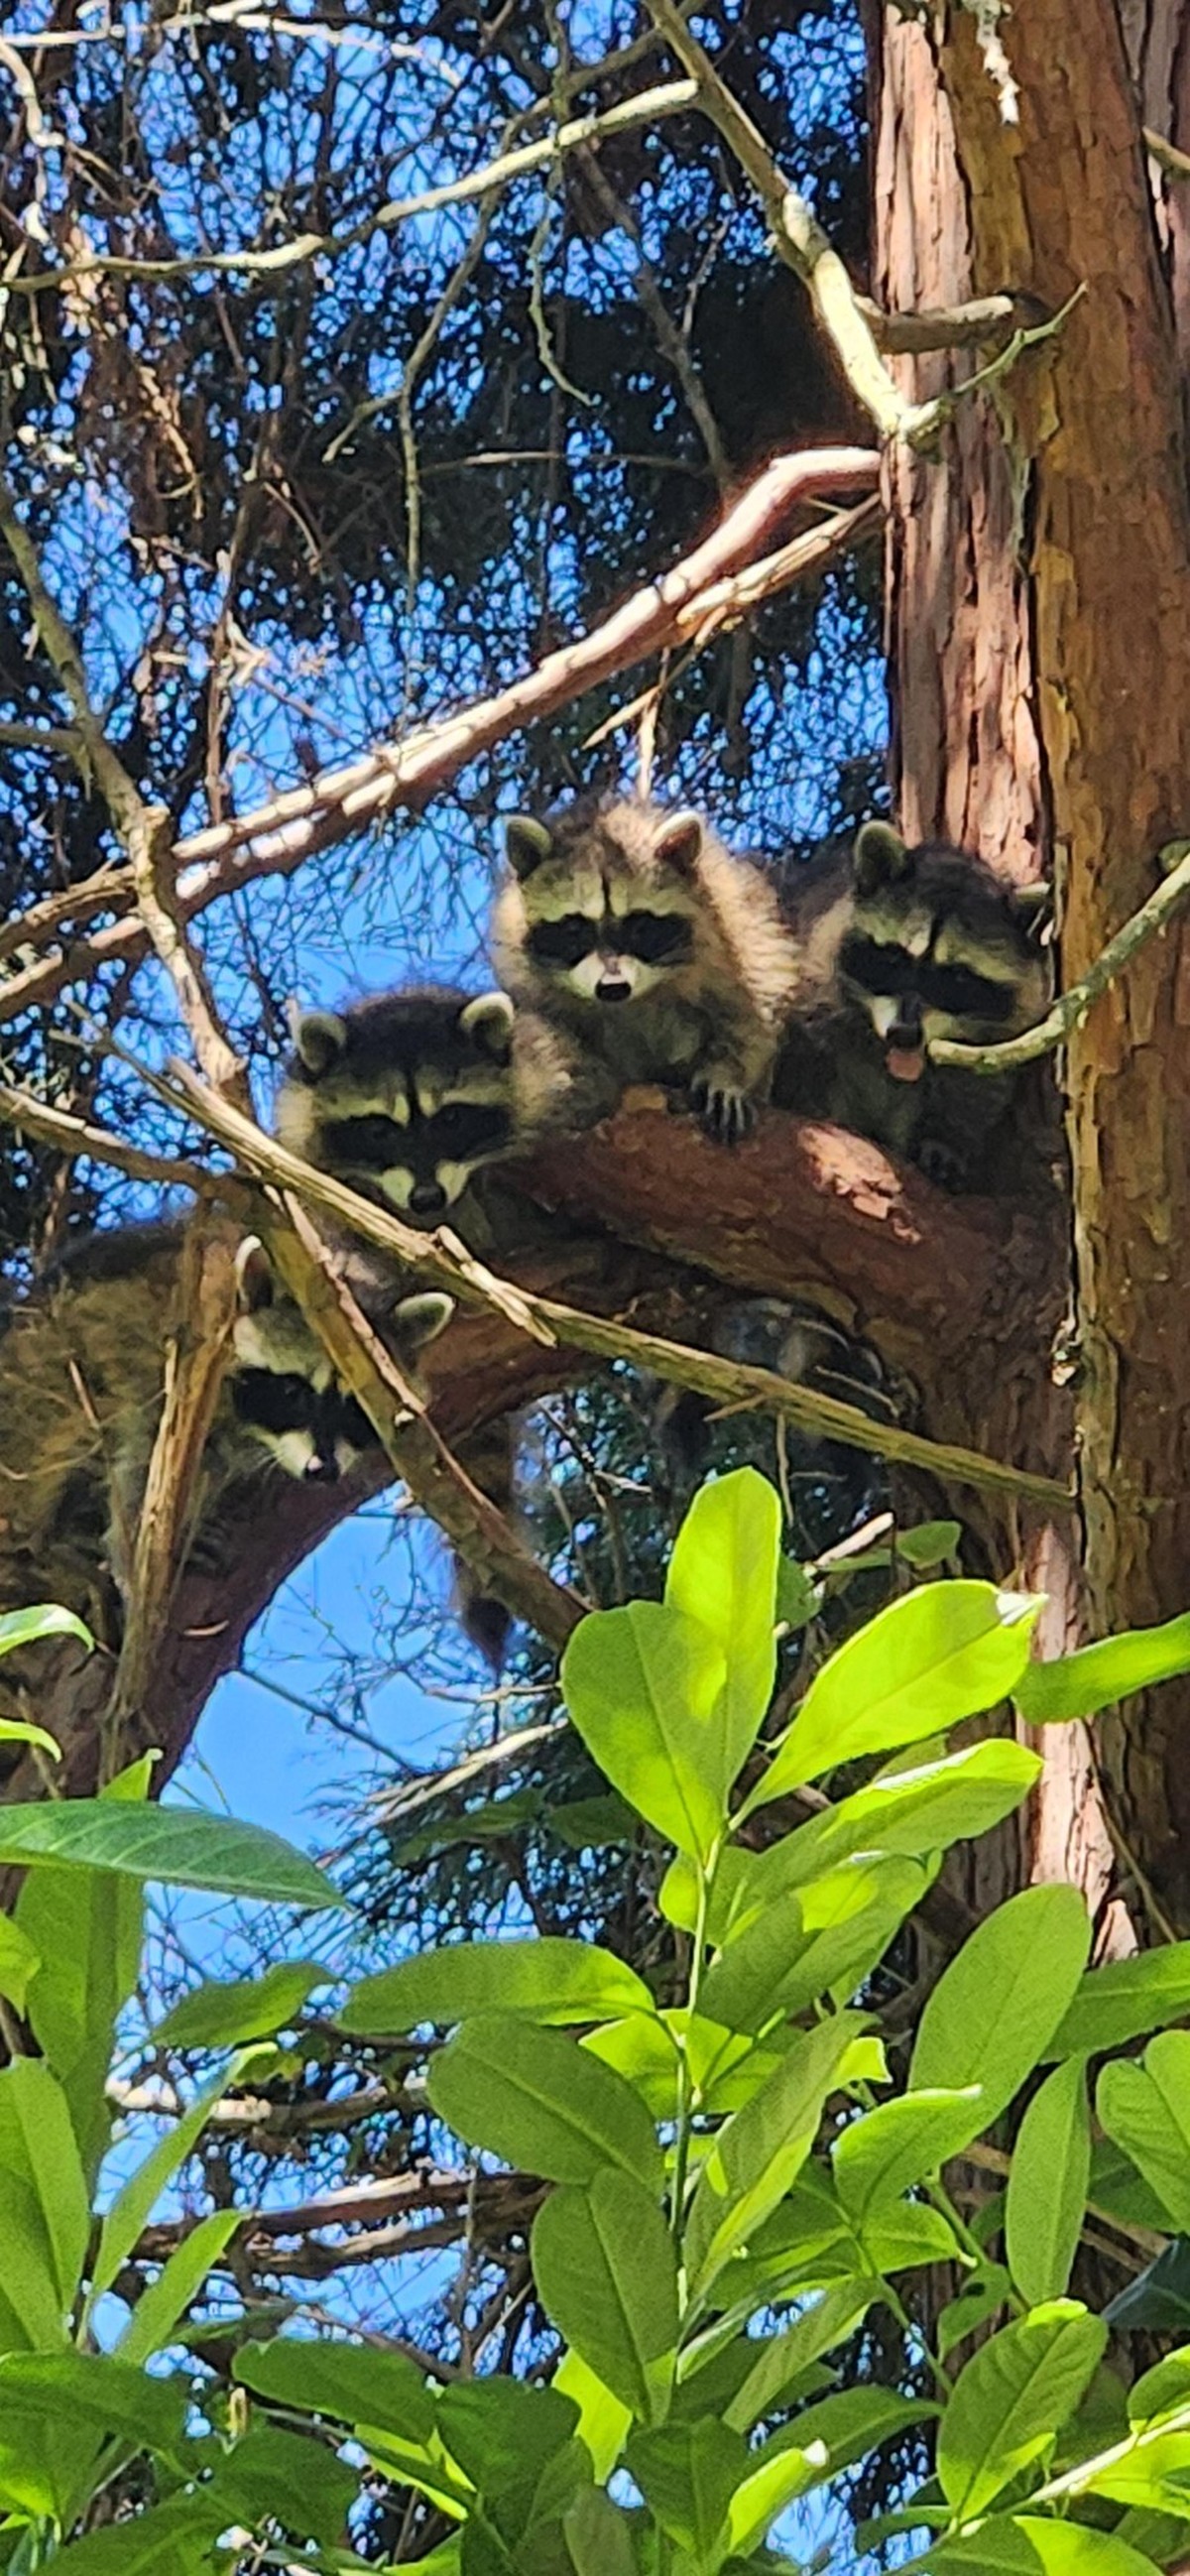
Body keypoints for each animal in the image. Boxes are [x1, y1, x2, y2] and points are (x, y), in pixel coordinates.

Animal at [490, 796, 801, 1144]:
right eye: (574, 929)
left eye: (639, 927)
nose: (613, 987)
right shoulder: (524, 969)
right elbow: (543, 1029)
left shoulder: (733, 926)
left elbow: (753, 1005)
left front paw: (726, 1076)